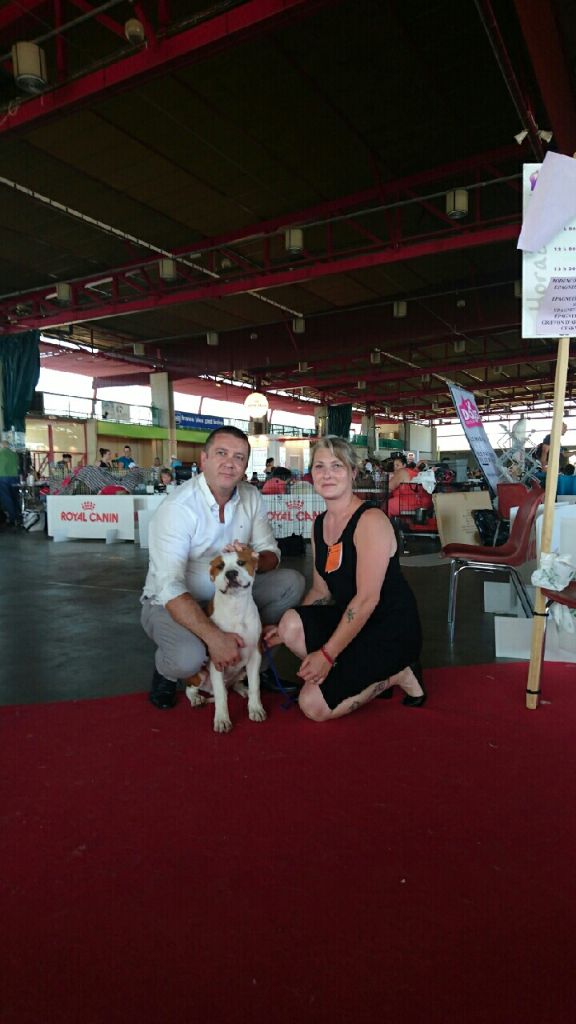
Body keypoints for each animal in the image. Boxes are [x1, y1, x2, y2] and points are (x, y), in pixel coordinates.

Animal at [185, 545, 266, 733]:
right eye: (220, 566)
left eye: (241, 562)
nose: (231, 573)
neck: (235, 606)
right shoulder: (218, 658)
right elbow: (221, 697)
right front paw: (222, 719)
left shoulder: (255, 655)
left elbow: (255, 685)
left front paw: (255, 708)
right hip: (198, 675)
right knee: (192, 689)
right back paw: (196, 699)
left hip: (241, 670)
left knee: (234, 684)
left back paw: (242, 689)